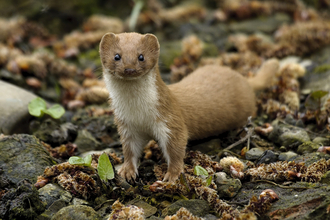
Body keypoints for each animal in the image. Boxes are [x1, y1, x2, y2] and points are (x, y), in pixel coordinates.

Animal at [99, 31, 280, 181]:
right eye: (117, 56)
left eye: (141, 56)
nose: (129, 69)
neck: (138, 113)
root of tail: (243, 79)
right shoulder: (126, 126)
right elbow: (129, 150)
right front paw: (127, 171)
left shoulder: (170, 119)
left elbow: (177, 147)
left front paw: (172, 175)